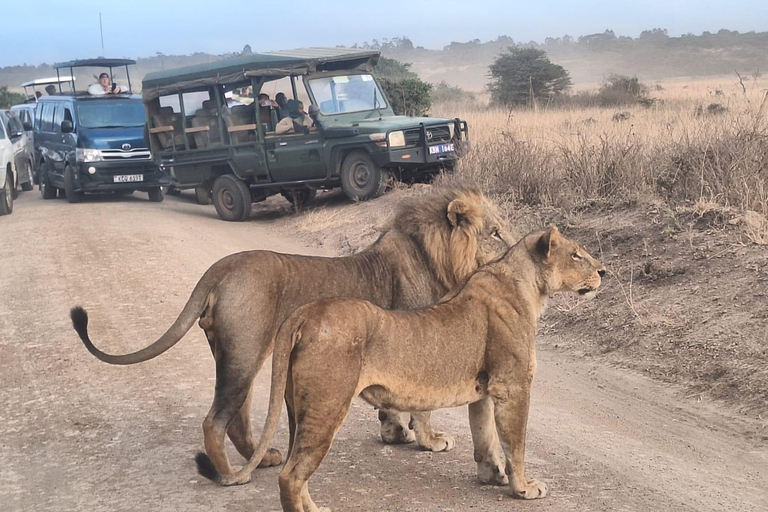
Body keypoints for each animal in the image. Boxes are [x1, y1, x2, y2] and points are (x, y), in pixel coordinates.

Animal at [70, 186, 510, 482]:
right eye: (495, 233)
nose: (514, 252)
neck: (436, 257)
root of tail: (221, 268)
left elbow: (392, 407)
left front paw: (394, 433)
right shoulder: (420, 343)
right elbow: (423, 407)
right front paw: (430, 441)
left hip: (238, 355)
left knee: (237, 419)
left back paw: (262, 458)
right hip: (245, 353)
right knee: (215, 421)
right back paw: (231, 474)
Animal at [220, 226, 608, 510]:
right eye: (576, 254)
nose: (604, 271)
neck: (525, 286)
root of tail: (304, 314)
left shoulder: (485, 389)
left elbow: (485, 436)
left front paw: (492, 475)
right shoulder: (512, 386)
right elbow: (516, 443)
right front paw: (523, 488)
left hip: (296, 410)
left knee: (293, 469)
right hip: (326, 406)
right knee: (290, 476)